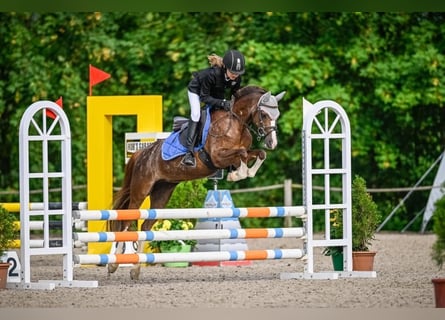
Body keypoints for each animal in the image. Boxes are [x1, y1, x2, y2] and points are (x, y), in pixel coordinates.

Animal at [109, 85, 286, 280]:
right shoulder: (217, 157)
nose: (272, 142)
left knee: (145, 226)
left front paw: (243, 172)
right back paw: (113, 265)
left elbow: (258, 154)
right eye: (263, 114)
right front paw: (237, 174)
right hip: (141, 189)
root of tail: (141, 154)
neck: (236, 124)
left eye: (277, 115)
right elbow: (241, 153)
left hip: (162, 193)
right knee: (126, 221)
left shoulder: (241, 153)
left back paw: (135, 269)